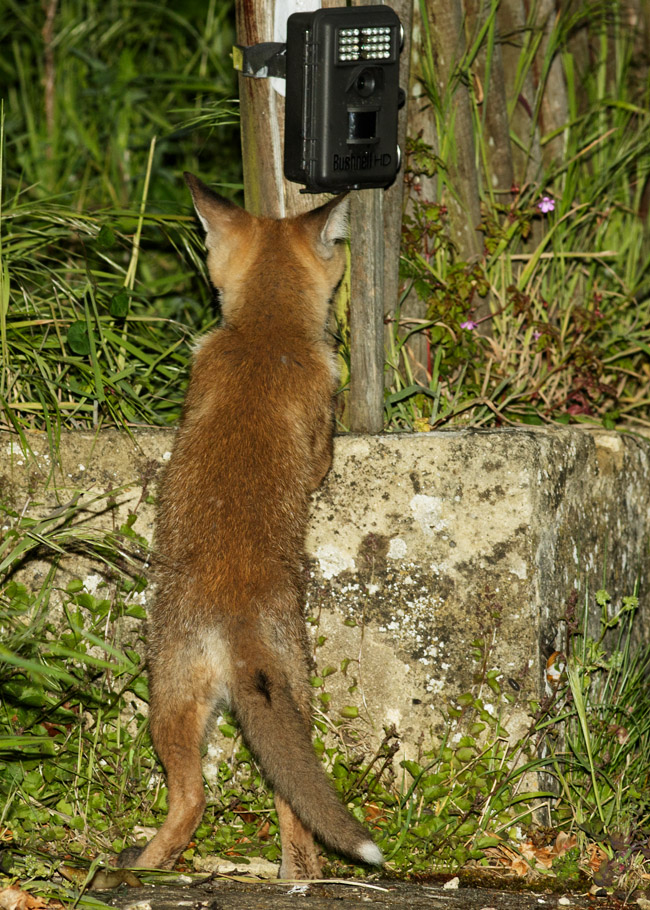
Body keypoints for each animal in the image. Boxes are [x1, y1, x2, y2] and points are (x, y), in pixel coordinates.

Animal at [118, 174, 383, 879]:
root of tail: (234, 611)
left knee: (207, 797)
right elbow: (321, 460)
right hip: (245, 694)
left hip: (174, 697)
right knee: (246, 799)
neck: (266, 331)